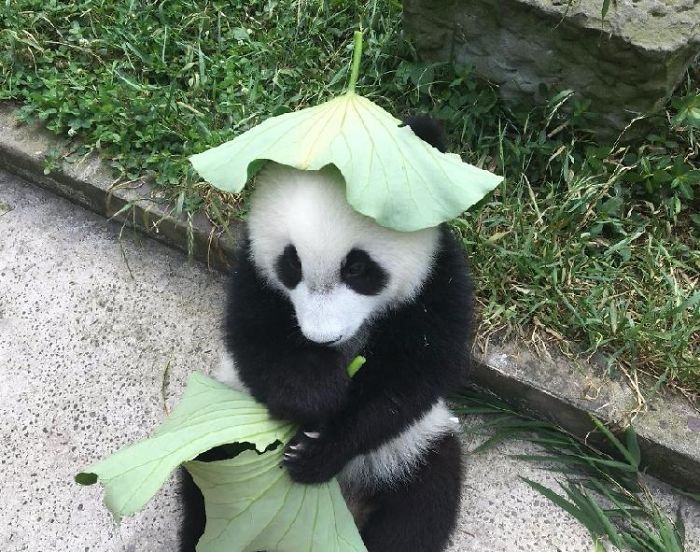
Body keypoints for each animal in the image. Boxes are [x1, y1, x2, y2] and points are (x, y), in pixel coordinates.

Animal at [180, 117, 474, 552]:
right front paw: (315, 396)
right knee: (209, 490)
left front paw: (316, 451)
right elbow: (256, 342)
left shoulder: (437, 282)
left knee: (422, 504)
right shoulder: (252, 275)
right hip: (222, 431)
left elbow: (412, 379)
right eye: (291, 265)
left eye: (357, 268)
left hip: (413, 446)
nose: (322, 340)